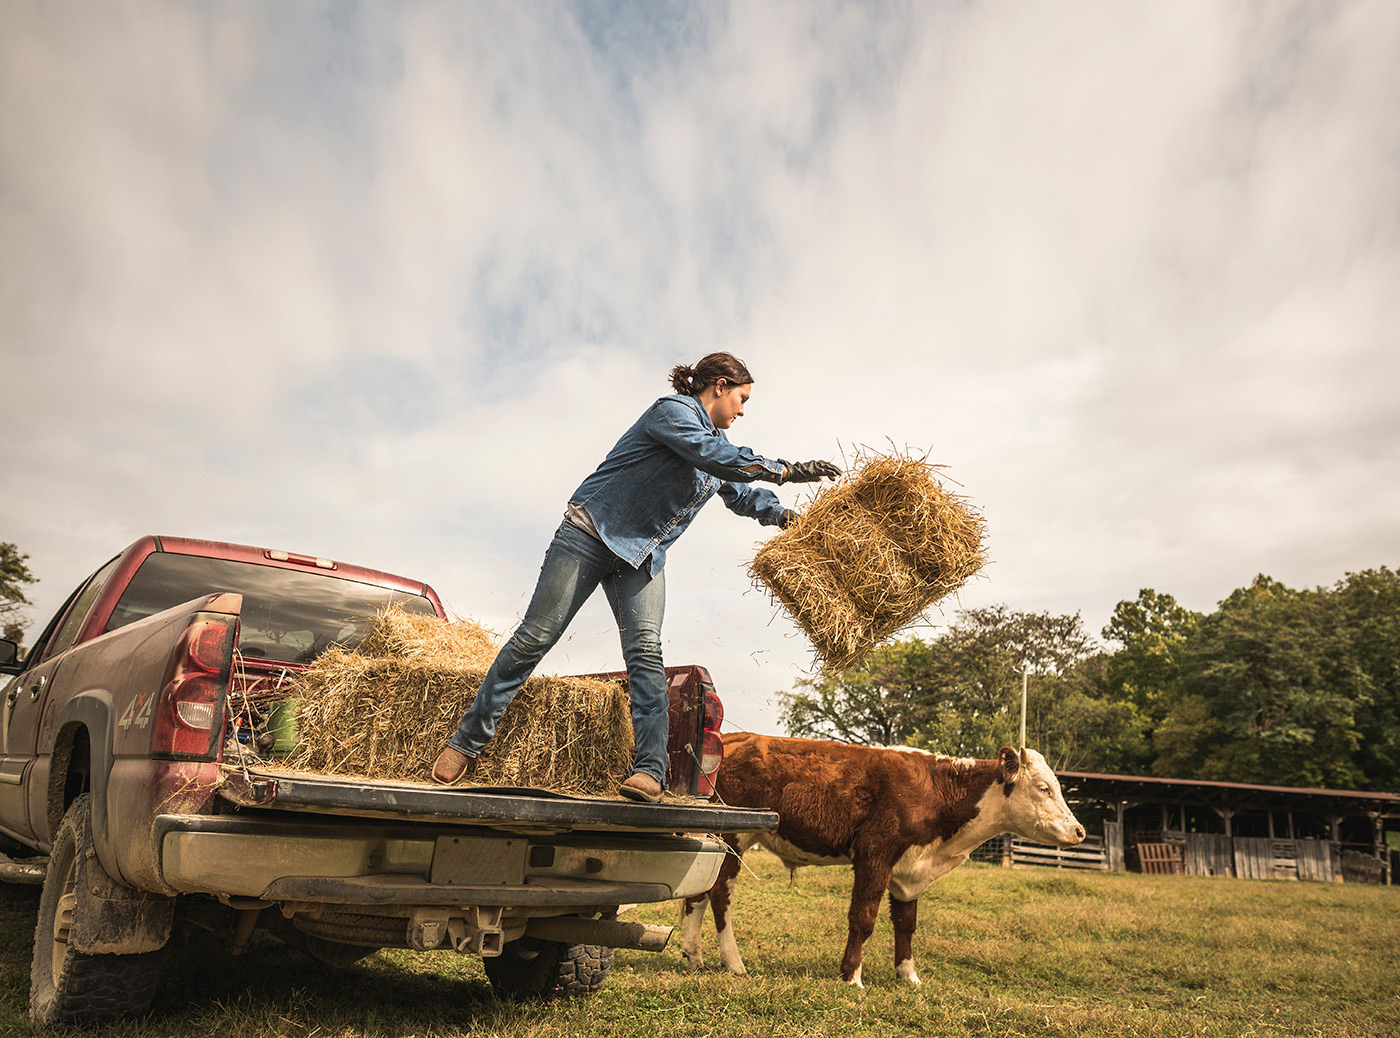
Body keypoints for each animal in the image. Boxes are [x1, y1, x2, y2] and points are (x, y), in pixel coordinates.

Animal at [683, 734, 1086, 986]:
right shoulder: (875, 854)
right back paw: (734, 963)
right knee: (719, 897)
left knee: (696, 896)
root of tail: (735, 738)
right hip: (734, 837)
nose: (1080, 831)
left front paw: (908, 976)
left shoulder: (910, 870)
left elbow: (906, 925)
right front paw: (851, 976)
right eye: (1043, 788)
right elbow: (863, 919)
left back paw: (694, 957)